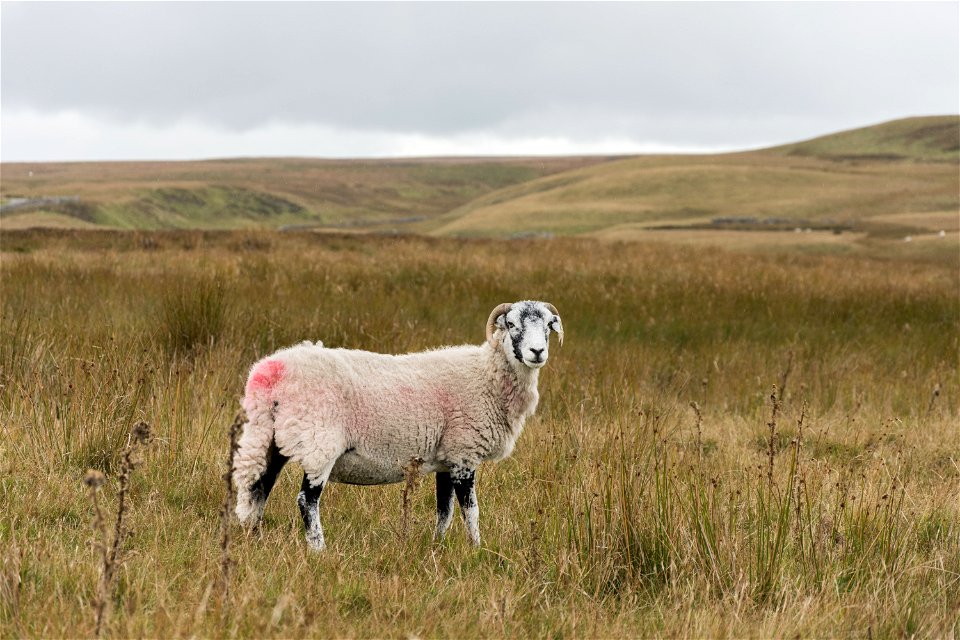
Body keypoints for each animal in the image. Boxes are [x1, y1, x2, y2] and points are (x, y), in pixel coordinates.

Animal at [232, 300, 564, 552]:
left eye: (549, 325)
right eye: (512, 324)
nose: (537, 352)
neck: (488, 375)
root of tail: (269, 372)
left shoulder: (447, 458)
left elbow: (444, 510)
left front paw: (437, 547)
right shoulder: (463, 454)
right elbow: (471, 510)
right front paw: (477, 549)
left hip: (270, 438)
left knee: (258, 488)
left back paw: (254, 538)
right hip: (318, 441)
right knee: (306, 500)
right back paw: (318, 548)